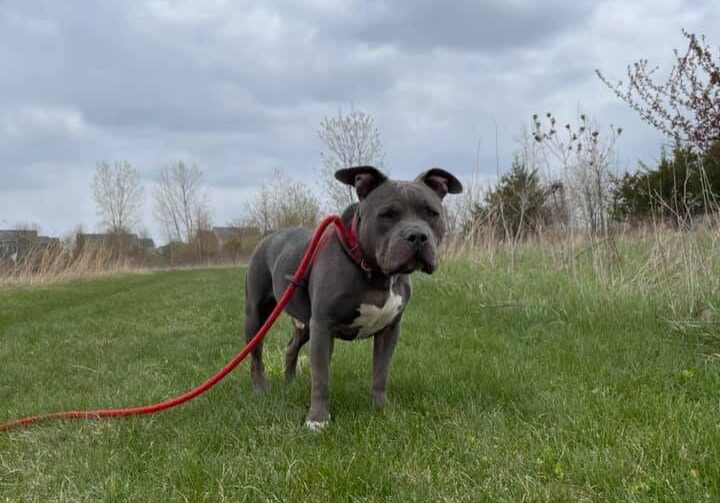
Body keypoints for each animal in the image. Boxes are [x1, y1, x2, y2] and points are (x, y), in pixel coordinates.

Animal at [245, 164, 464, 430]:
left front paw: (381, 408)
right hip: (257, 317)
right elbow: (321, 379)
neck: (375, 272)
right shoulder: (323, 327)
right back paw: (260, 390)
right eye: (387, 214)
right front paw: (317, 420)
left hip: (305, 324)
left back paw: (290, 383)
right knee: (256, 355)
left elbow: (380, 372)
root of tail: (268, 237)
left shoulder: (389, 330)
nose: (417, 236)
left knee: (291, 347)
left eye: (432, 214)